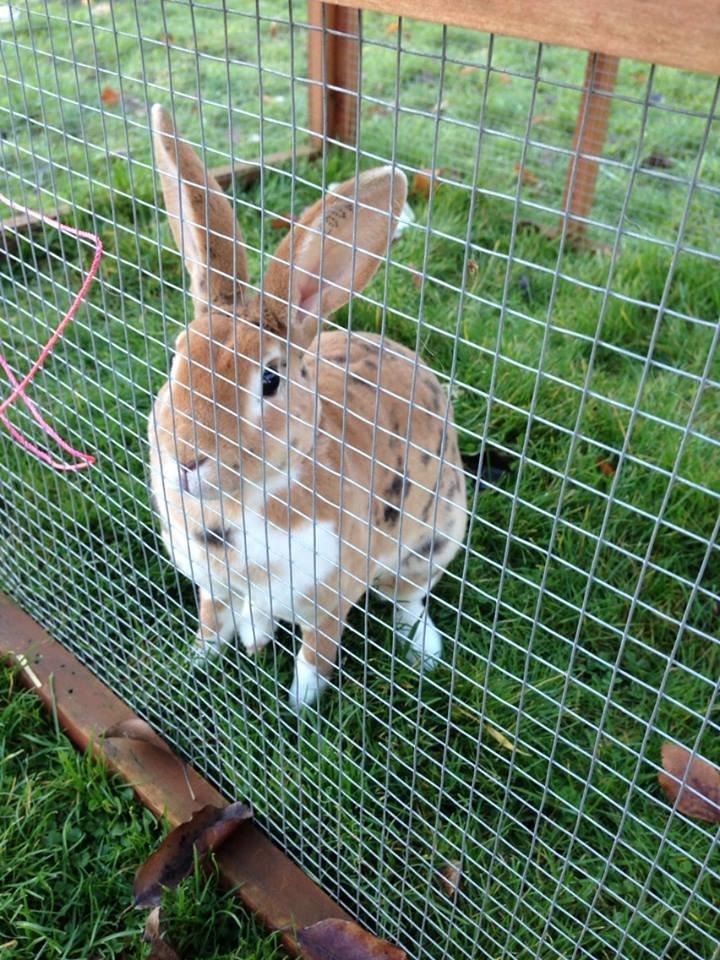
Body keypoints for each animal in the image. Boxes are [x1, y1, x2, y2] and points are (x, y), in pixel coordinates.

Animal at [149, 105, 470, 708]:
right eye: (179, 353)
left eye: (270, 380)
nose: (186, 459)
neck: (243, 504)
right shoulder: (214, 585)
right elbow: (211, 622)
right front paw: (190, 665)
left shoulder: (329, 596)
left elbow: (313, 657)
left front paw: (298, 709)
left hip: (429, 544)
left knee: (410, 601)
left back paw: (426, 653)